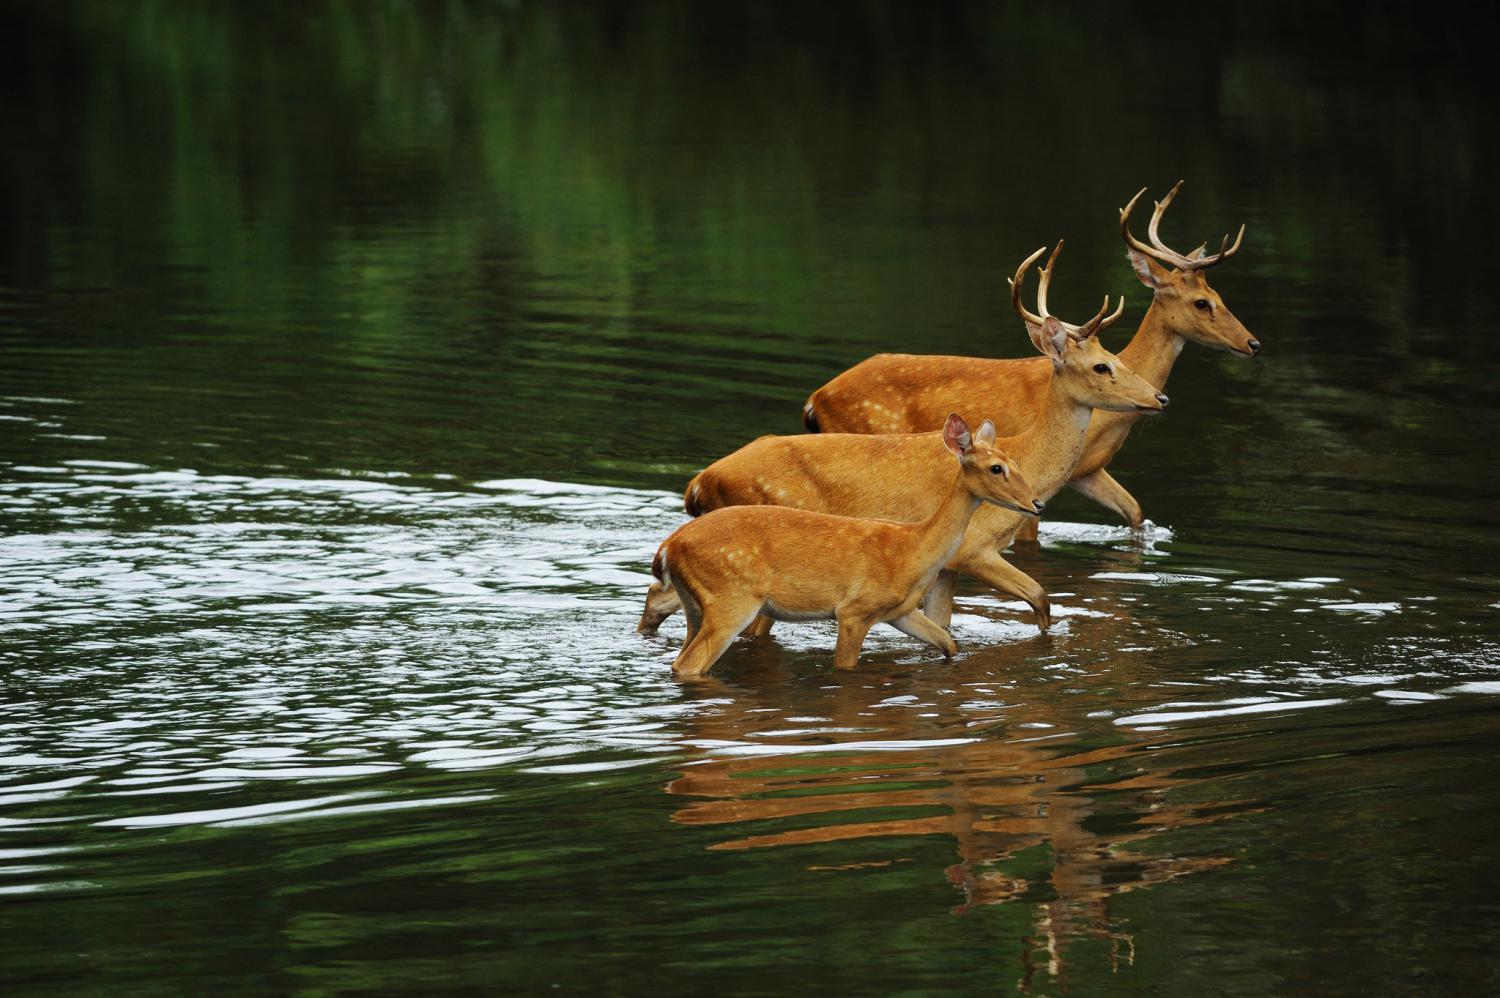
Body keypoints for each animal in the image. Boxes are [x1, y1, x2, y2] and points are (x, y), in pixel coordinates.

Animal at [636, 246, 1170, 642]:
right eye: (1102, 366)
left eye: (1115, 356)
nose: (1159, 397)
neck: (1027, 461)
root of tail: (698, 483)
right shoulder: (972, 549)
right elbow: (1040, 599)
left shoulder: (944, 568)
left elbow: (946, 625)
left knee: (658, 597)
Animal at [657, 411, 1044, 678]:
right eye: (996, 468)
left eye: (1016, 463)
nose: (1037, 503)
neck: (913, 549)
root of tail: (667, 549)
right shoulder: (854, 610)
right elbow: (846, 667)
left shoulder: (900, 611)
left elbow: (949, 643)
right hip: (731, 600)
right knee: (690, 664)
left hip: (696, 606)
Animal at [798, 180, 1254, 537]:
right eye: (1202, 303)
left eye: (1218, 295)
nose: (1253, 343)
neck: (1107, 428)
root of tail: (815, 400)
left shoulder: (1088, 472)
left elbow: (1137, 513)